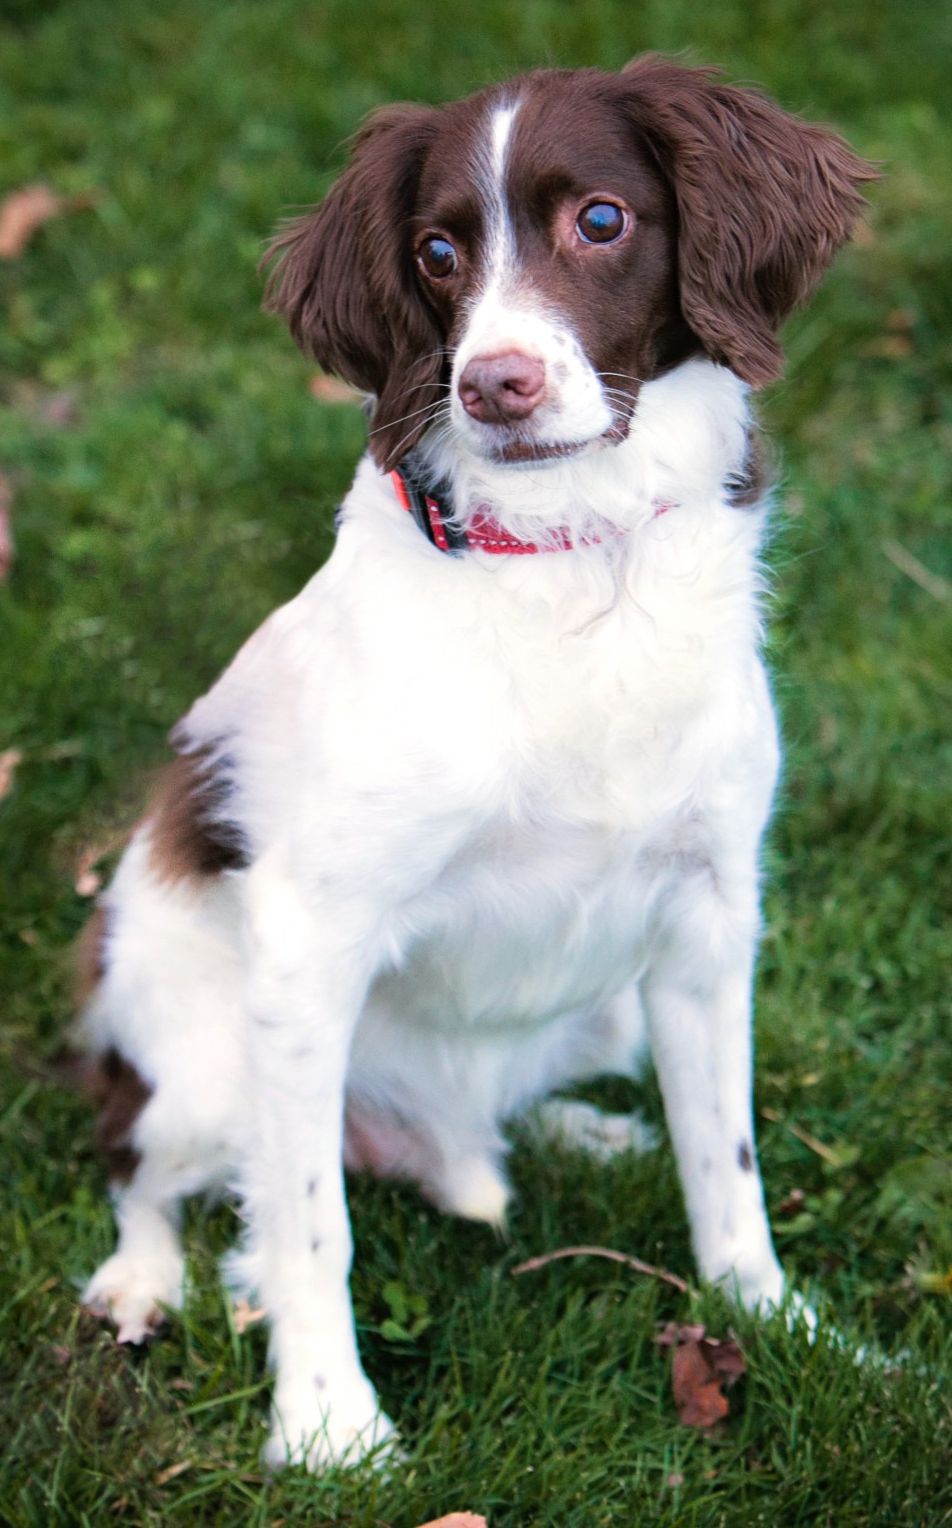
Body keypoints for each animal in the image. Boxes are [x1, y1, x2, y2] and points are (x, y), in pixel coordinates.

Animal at [76, 56, 874, 1466]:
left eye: (601, 221)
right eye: (436, 252)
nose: (494, 382)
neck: (568, 555)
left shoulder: (713, 910)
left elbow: (724, 1158)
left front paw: (781, 1324)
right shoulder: (310, 942)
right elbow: (309, 1224)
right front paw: (329, 1426)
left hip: (605, 1006)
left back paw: (581, 1126)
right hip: (195, 1056)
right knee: (145, 1166)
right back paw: (139, 1281)